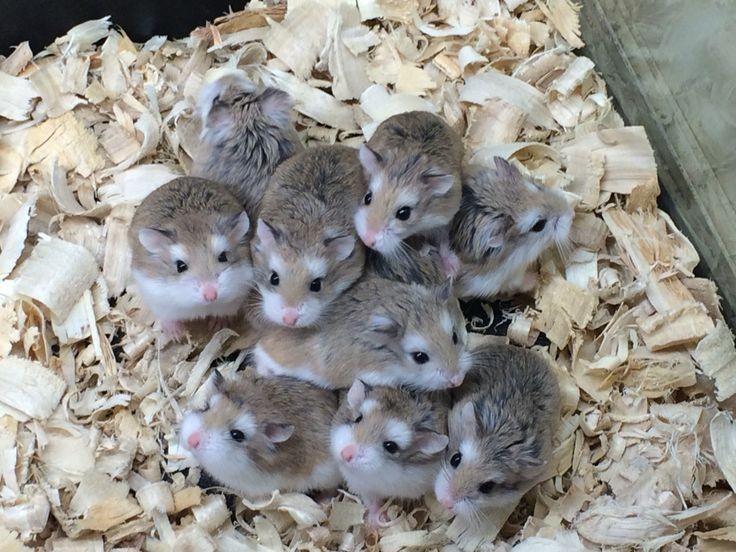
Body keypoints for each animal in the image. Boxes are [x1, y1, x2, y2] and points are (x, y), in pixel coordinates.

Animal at [129, 177, 253, 338]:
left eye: (223, 257)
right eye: (180, 266)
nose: (211, 296)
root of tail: (180, 178)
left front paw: (217, 325)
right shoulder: (159, 301)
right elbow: (168, 319)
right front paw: (176, 335)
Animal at [331, 380, 449, 526]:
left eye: (390, 446)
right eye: (358, 418)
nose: (345, 454)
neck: (383, 472)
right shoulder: (365, 487)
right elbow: (372, 502)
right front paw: (375, 522)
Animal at [355, 111, 464, 257]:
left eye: (404, 214)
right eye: (367, 198)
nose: (366, 240)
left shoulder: (444, 218)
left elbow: (444, 240)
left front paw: (451, 263)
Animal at [451, 158, 574, 299]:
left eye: (538, 187)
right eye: (539, 225)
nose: (572, 215)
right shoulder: (499, 279)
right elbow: (517, 283)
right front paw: (536, 279)